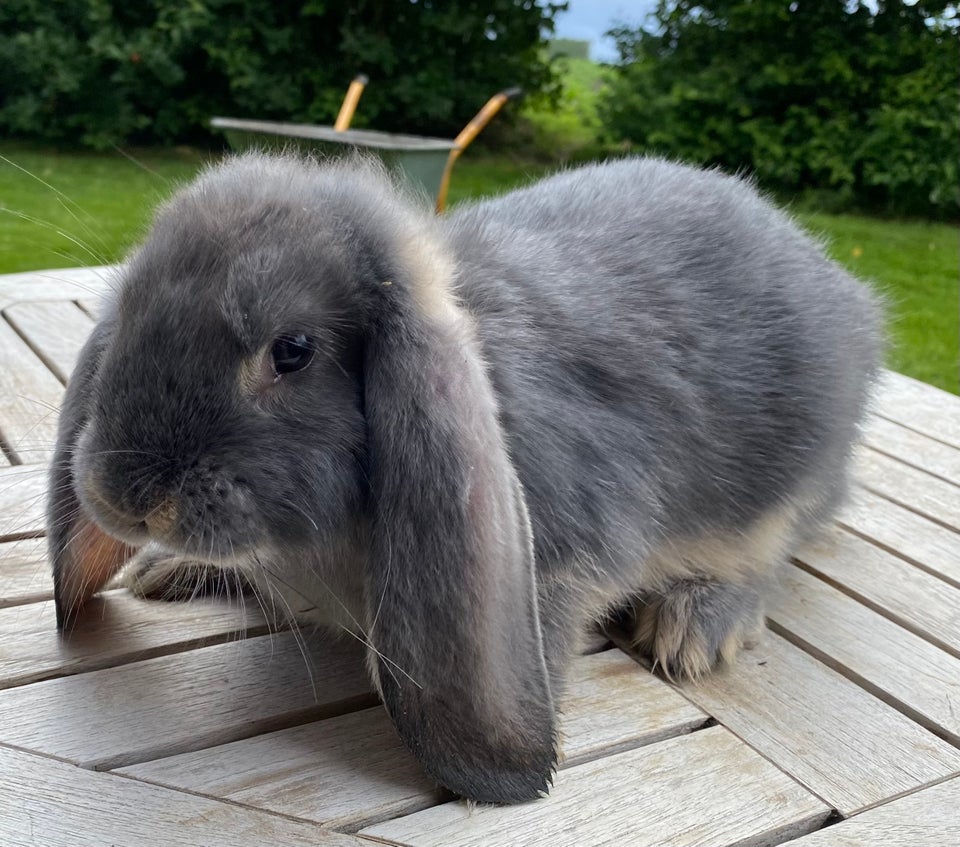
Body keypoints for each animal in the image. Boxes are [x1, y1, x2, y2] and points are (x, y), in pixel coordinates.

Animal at [48, 152, 880, 808]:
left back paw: (693, 625)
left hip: (788, 489)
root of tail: (845, 291)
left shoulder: (565, 560)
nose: (130, 501)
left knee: (772, 557)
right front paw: (166, 568)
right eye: (128, 312)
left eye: (292, 350)